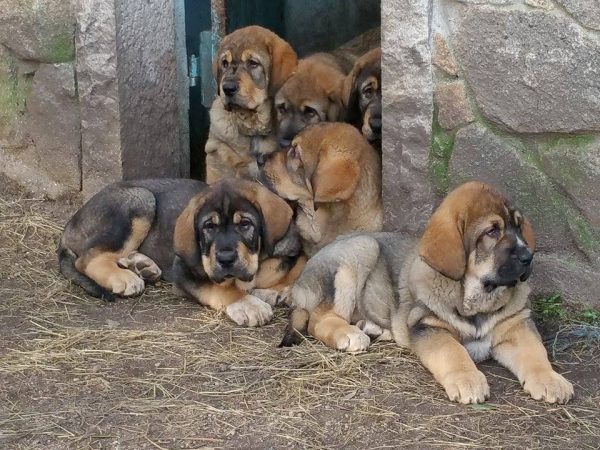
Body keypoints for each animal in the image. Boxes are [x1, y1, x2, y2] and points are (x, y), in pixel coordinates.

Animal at [284, 181, 576, 406]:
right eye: (492, 231)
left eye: (518, 226)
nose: (529, 257)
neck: (476, 297)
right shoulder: (429, 326)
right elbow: (452, 352)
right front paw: (467, 379)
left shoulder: (516, 324)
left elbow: (535, 352)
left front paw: (551, 380)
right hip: (360, 249)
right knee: (319, 319)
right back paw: (350, 334)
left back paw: (374, 328)